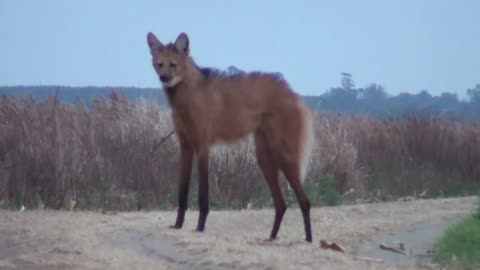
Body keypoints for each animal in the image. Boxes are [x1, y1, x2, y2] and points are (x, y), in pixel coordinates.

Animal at [148, 31, 316, 243]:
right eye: (159, 64)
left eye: (173, 64)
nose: (164, 77)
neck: (187, 96)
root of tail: (292, 93)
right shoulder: (185, 146)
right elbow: (182, 190)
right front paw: (178, 225)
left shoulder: (202, 147)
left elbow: (203, 194)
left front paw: (200, 227)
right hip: (264, 158)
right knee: (281, 203)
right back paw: (271, 237)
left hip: (282, 155)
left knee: (305, 202)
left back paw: (308, 240)